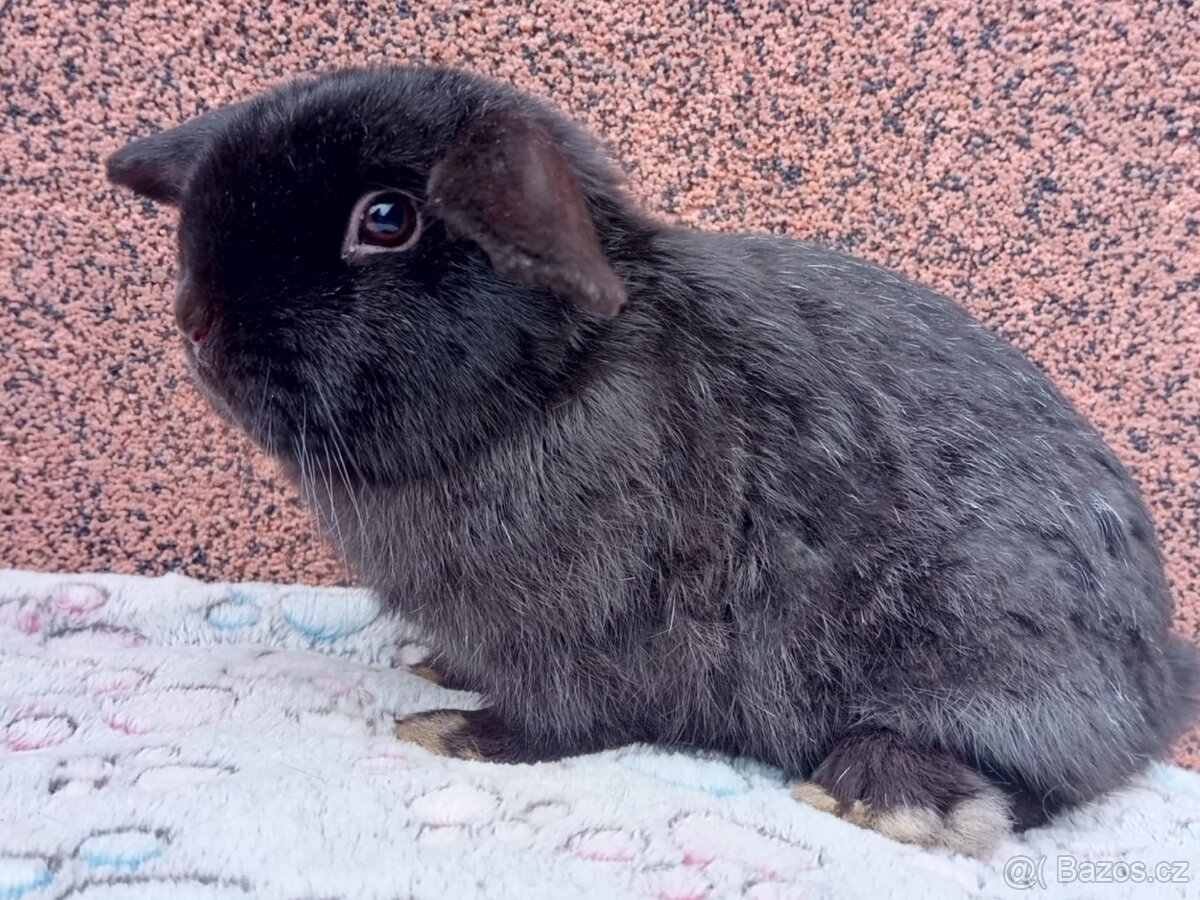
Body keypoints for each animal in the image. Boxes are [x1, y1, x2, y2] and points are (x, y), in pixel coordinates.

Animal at [106, 66, 1198, 856]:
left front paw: (449, 732)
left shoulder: (585, 629)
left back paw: (889, 796)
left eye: (386, 218)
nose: (194, 321)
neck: (552, 386)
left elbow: (559, 721)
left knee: (1041, 777)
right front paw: (436, 668)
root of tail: (1161, 678)